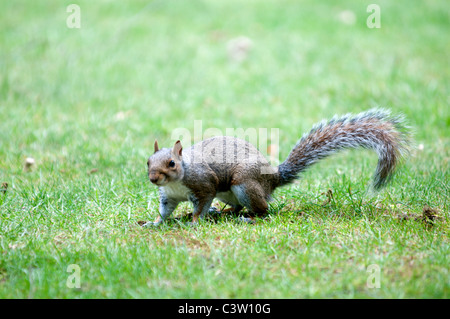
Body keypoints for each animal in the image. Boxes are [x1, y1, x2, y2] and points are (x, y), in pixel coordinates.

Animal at [143, 109, 408, 226]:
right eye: (148, 161)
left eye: (172, 163)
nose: (153, 178)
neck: (177, 182)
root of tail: (273, 177)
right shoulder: (168, 197)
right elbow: (164, 211)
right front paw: (154, 223)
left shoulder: (204, 185)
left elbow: (201, 205)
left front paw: (195, 221)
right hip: (230, 192)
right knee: (238, 206)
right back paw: (225, 213)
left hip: (243, 184)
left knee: (264, 210)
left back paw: (248, 218)